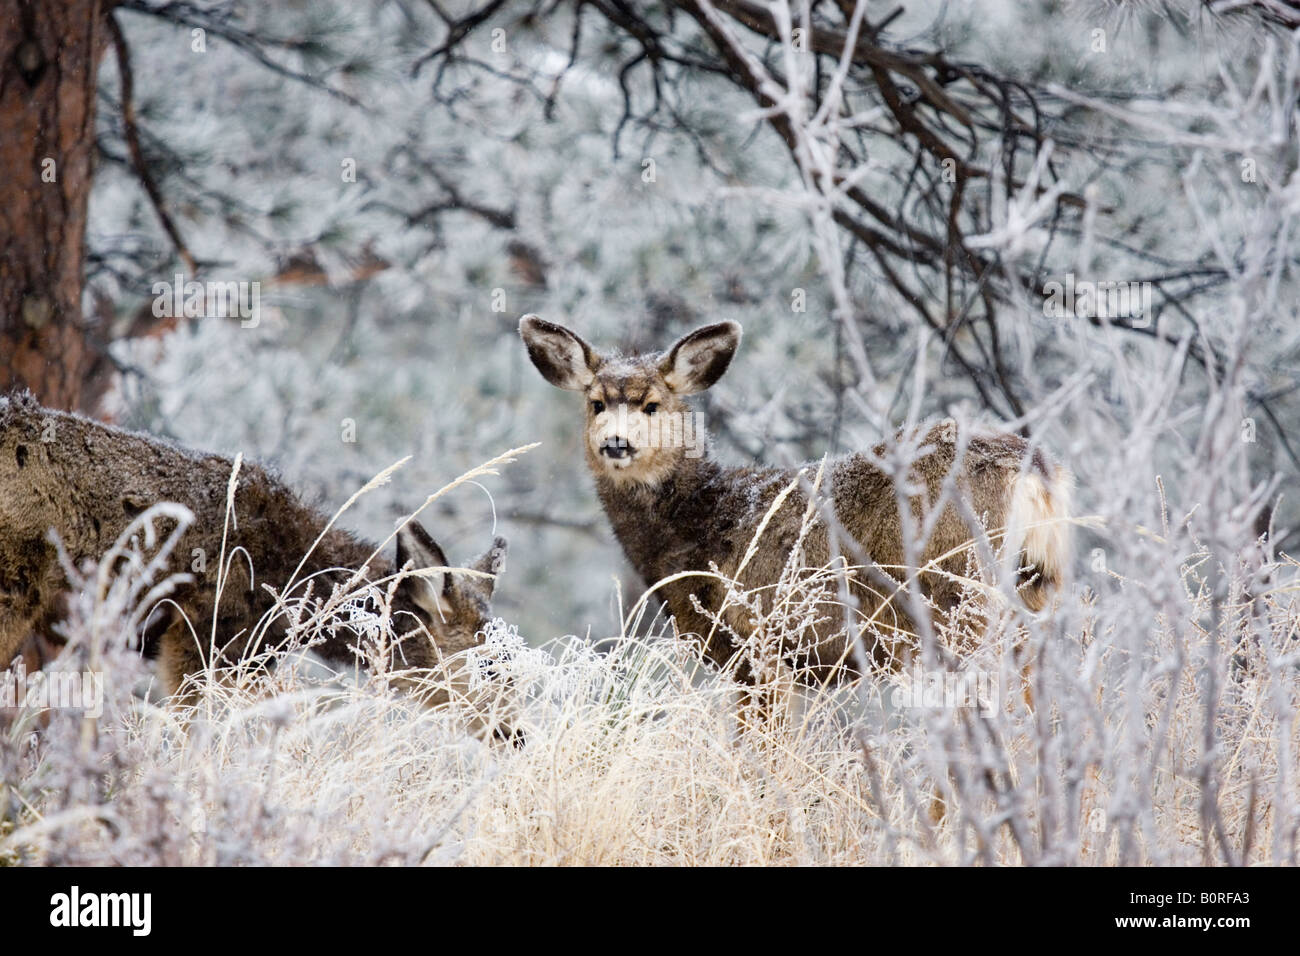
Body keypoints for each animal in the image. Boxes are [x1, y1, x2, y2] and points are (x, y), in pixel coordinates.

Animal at [517, 317, 1076, 691]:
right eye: (595, 403)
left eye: (652, 405)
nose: (615, 442)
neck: (702, 525)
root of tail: (1035, 472)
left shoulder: (758, 642)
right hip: (1033, 594)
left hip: (960, 597)